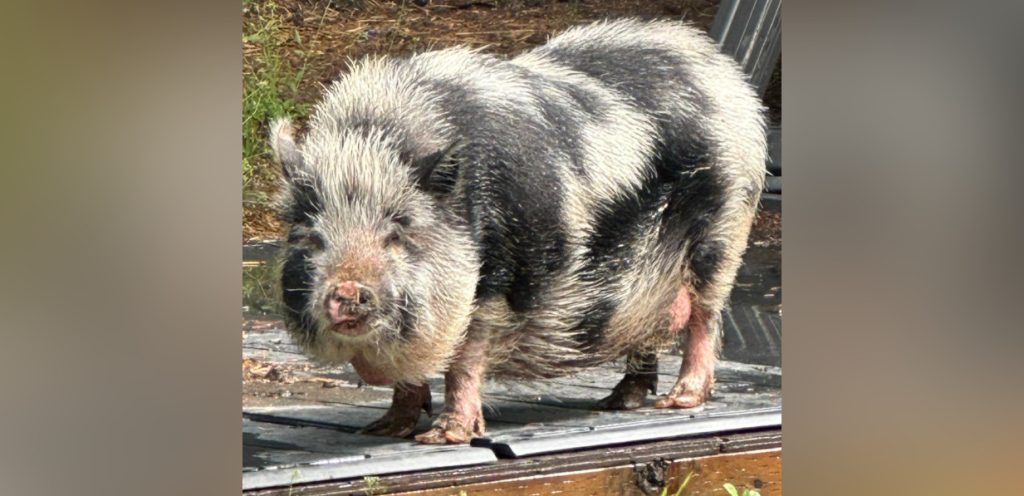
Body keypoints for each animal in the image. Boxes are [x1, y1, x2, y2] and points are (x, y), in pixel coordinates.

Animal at [268, 19, 765, 442]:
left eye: (398, 232)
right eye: (311, 238)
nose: (348, 290)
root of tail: (723, 74)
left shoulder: (495, 285)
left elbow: (465, 360)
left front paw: (444, 437)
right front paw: (384, 430)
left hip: (724, 232)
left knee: (705, 316)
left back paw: (678, 401)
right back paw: (616, 403)